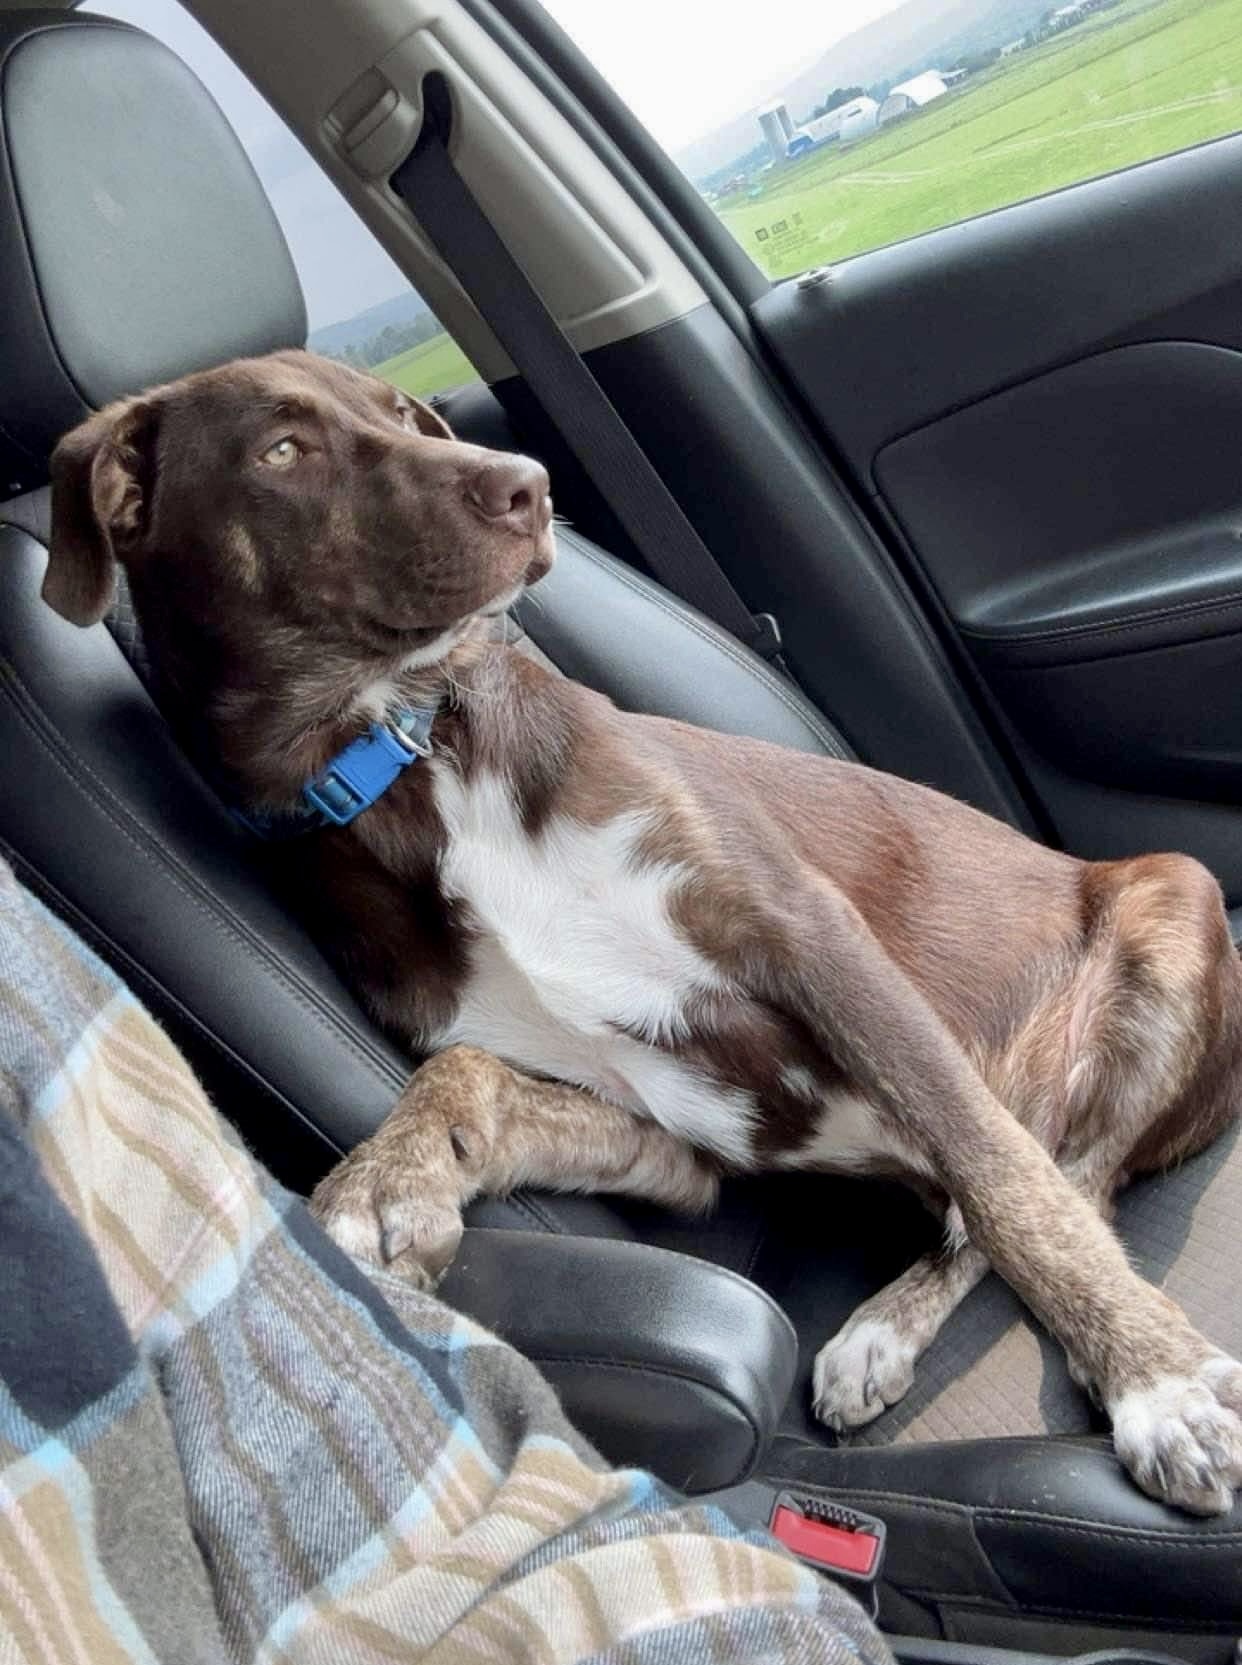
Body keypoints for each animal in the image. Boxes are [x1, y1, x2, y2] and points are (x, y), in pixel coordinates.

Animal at [43, 357, 1238, 1518]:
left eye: (407, 417)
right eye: (283, 450)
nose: (528, 487)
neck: (405, 749)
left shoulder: (810, 940)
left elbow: (1007, 1183)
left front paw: (1159, 1380)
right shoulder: (675, 1132)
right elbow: (470, 1072)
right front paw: (390, 1178)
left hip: (1174, 897)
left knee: (1067, 1178)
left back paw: (922, 1327)